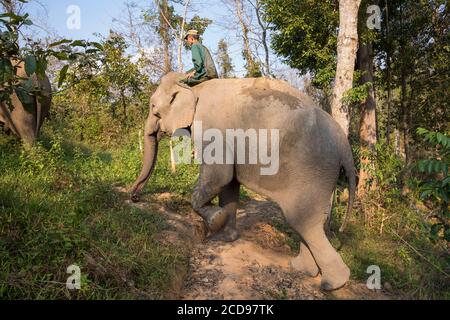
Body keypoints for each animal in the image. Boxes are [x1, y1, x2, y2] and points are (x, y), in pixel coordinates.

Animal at [130, 72, 356, 290]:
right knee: (313, 222)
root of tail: (344, 145)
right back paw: (302, 269)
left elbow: (219, 175)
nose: (135, 197)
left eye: (153, 107)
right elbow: (229, 186)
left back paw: (332, 284)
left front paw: (215, 221)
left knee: (303, 221)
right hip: (324, 175)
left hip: (312, 170)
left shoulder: (211, 129)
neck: (192, 86)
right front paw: (224, 237)